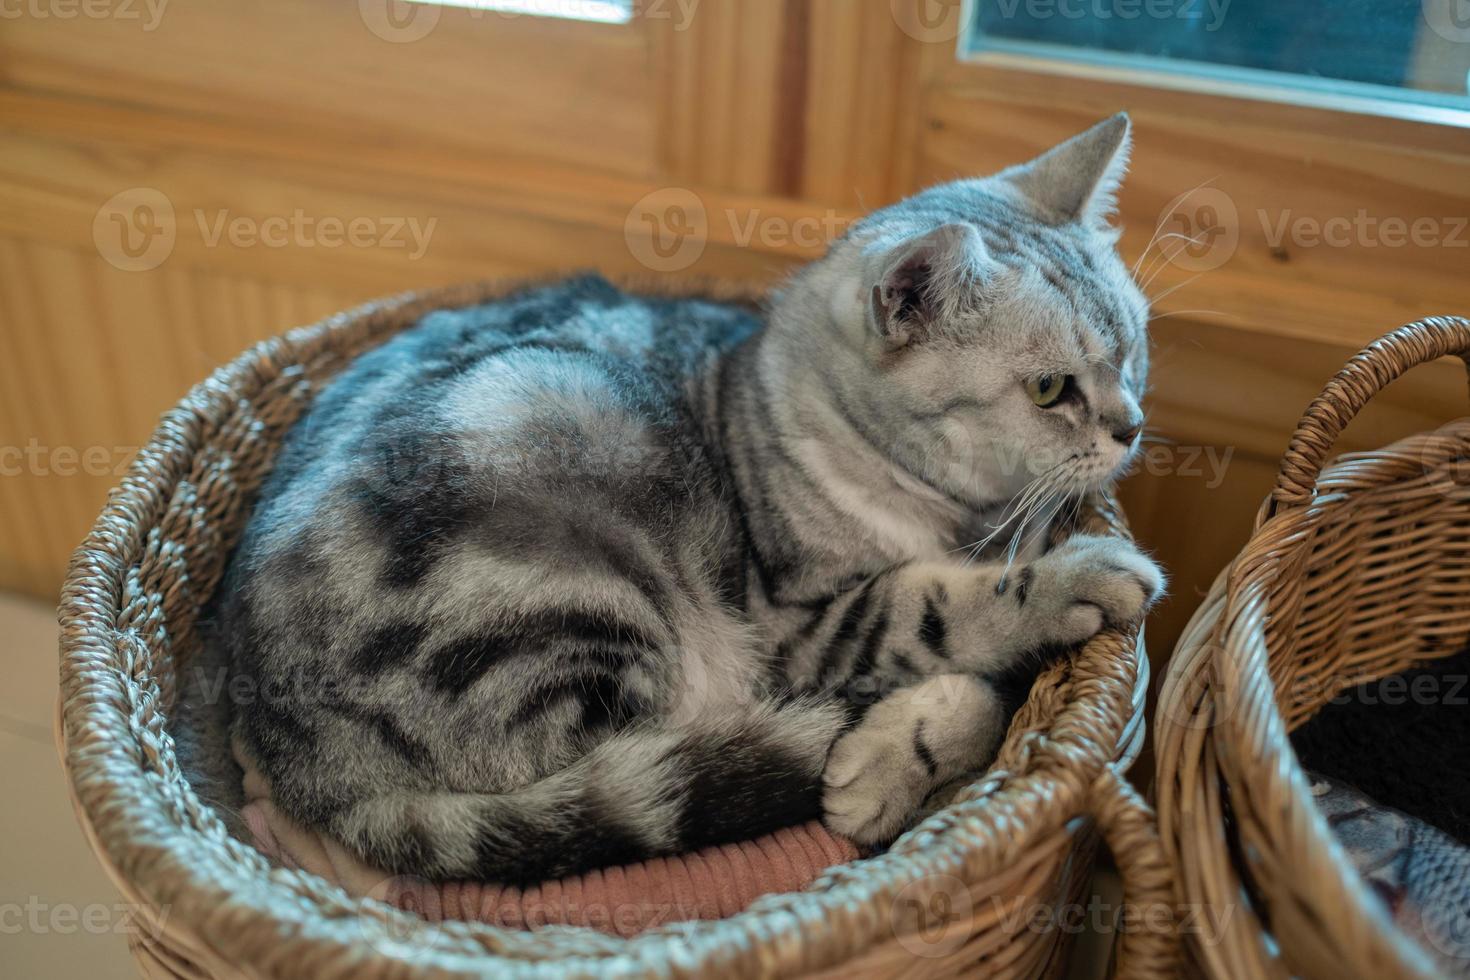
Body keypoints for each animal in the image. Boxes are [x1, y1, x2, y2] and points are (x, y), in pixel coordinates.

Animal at [220, 110, 1158, 887]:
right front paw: (1072, 581)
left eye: (1133, 352)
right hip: (567, 539)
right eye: (1049, 388)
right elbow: (941, 617)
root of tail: (306, 763)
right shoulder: (798, 629)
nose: (1133, 426)